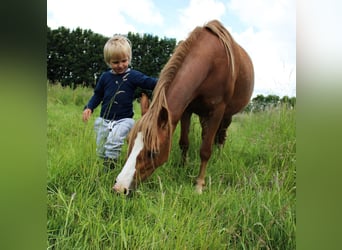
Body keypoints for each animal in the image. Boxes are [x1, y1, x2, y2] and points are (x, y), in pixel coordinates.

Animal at [113, 20, 254, 195]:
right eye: (128, 141)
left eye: (153, 152)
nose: (119, 188)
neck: (212, 62)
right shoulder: (187, 109)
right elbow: (184, 142)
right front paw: (182, 167)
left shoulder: (217, 111)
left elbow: (205, 150)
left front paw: (199, 184)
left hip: (227, 115)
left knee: (221, 137)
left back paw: (219, 156)